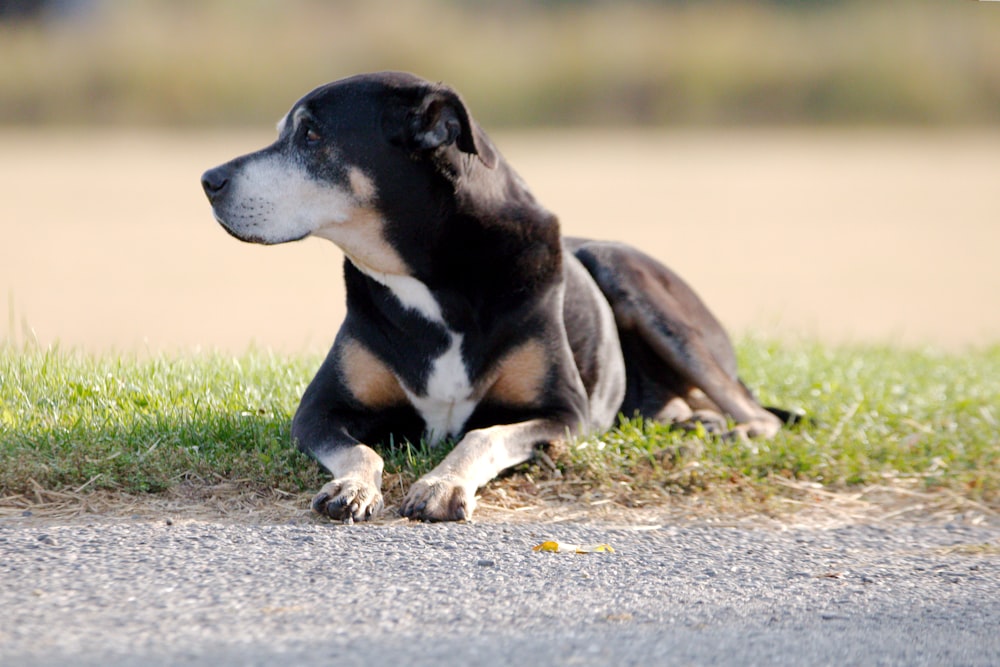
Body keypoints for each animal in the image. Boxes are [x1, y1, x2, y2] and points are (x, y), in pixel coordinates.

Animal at [203, 72, 792, 520]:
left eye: (310, 135)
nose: (208, 179)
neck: (433, 279)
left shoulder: (563, 412)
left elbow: (483, 436)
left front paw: (442, 485)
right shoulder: (320, 410)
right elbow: (358, 449)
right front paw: (352, 487)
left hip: (633, 282)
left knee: (758, 414)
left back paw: (729, 430)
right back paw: (695, 423)